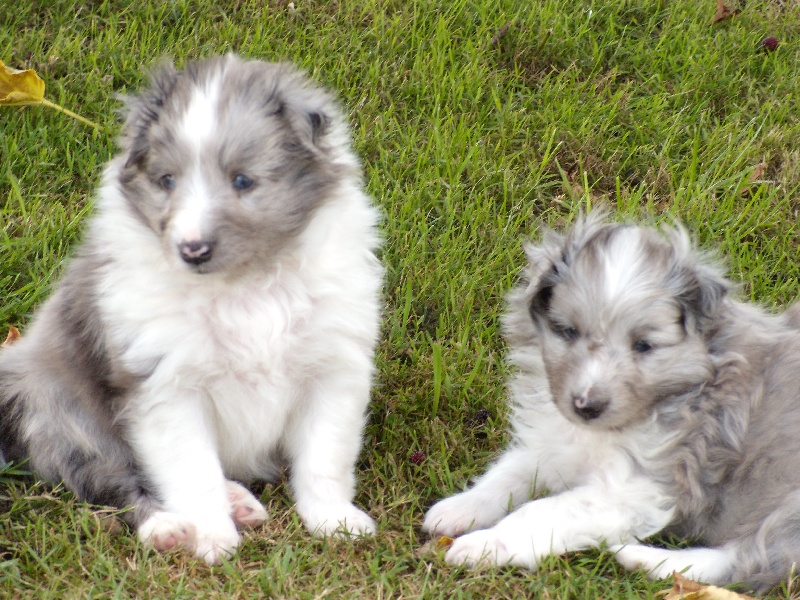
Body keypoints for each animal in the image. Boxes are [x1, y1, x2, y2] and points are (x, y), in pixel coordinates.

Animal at [0, 54, 382, 564]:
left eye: (243, 181)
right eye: (168, 181)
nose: (192, 249)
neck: (243, 285)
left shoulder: (333, 369)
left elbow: (325, 457)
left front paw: (335, 522)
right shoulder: (166, 386)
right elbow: (192, 470)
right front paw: (211, 538)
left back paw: (238, 501)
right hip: (67, 418)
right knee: (115, 482)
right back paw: (168, 527)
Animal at [428, 211, 800, 592]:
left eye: (644, 345)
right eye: (568, 331)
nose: (586, 406)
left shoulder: (640, 489)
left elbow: (542, 510)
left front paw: (485, 544)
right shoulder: (556, 442)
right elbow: (511, 470)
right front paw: (461, 507)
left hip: (789, 507)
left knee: (750, 560)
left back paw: (645, 558)